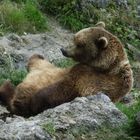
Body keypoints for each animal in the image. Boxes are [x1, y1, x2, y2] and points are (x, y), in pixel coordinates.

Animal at [0, 21, 133, 116]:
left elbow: (63, 89)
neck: (105, 65)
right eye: (74, 37)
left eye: (80, 44)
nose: (63, 49)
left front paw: (34, 100)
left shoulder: (92, 79)